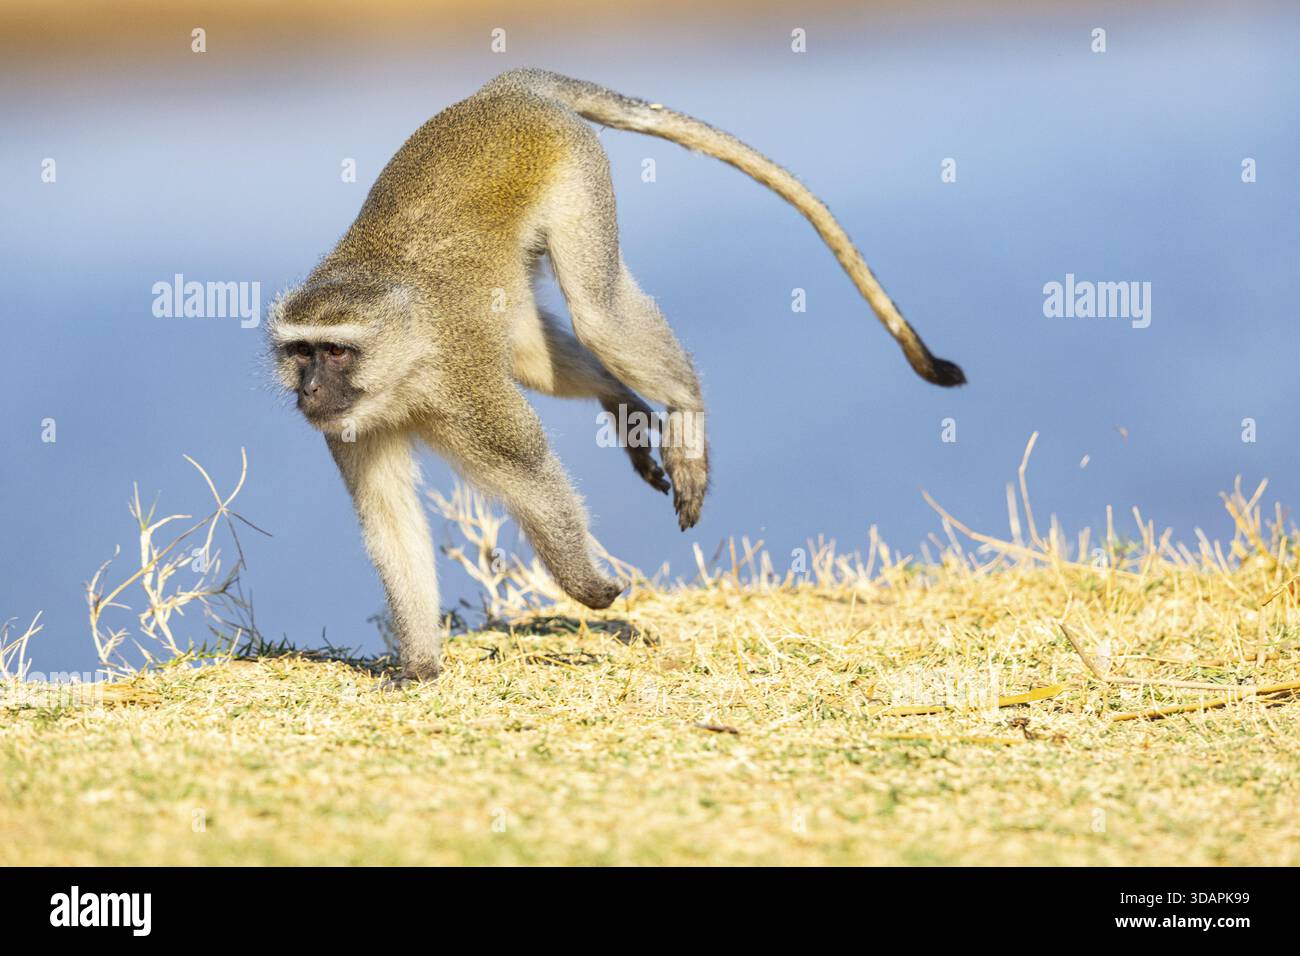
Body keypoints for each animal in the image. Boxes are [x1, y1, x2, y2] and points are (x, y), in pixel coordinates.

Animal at [268, 69, 964, 683]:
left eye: (336, 354)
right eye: (301, 354)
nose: (309, 391)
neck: (404, 375)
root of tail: (501, 91)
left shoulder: (466, 392)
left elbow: (529, 472)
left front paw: (585, 585)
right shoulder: (352, 427)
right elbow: (389, 518)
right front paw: (419, 666)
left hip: (576, 172)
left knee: (598, 314)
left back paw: (684, 407)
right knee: (533, 351)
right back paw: (620, 400)